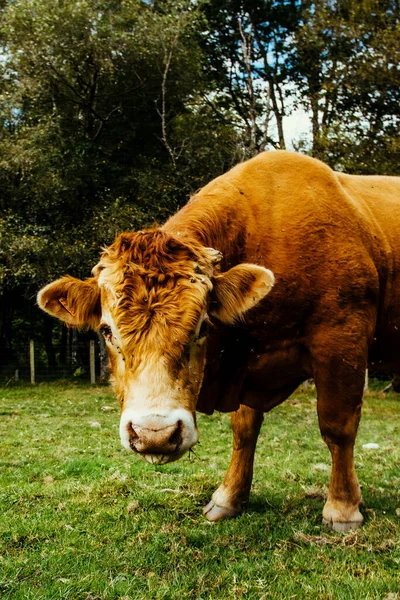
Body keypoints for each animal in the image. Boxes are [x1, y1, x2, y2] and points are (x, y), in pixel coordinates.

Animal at [38, 151, 400, 528]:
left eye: (203, 327)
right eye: (107, 330)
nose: (155, 434)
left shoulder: (341, 339)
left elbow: (337, 426)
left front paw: (343, 508)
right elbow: (244, 430)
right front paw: (229, 497)